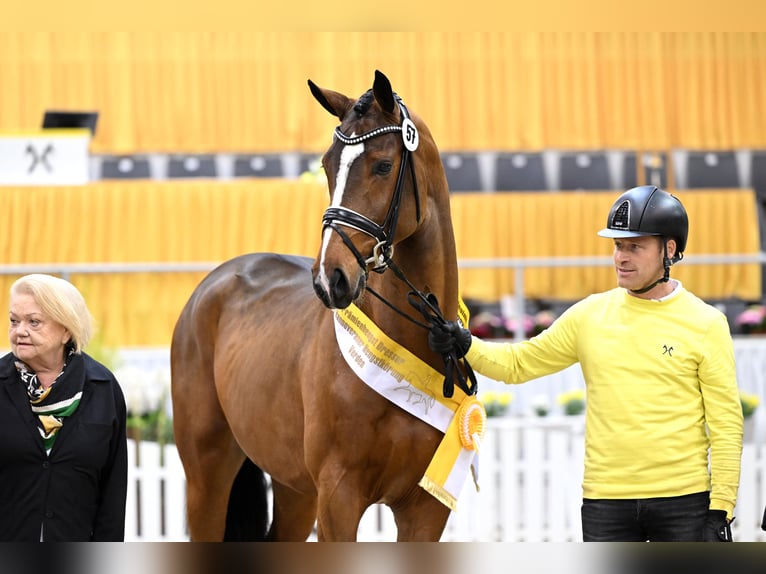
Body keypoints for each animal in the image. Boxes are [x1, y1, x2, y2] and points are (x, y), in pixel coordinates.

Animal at [171, 70, 472, 544]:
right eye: (328, 166)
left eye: (383, 166)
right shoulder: (339, 498)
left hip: (295, 489)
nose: (330, 278)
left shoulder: (425, 509)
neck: (410, 343)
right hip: (208, 472)